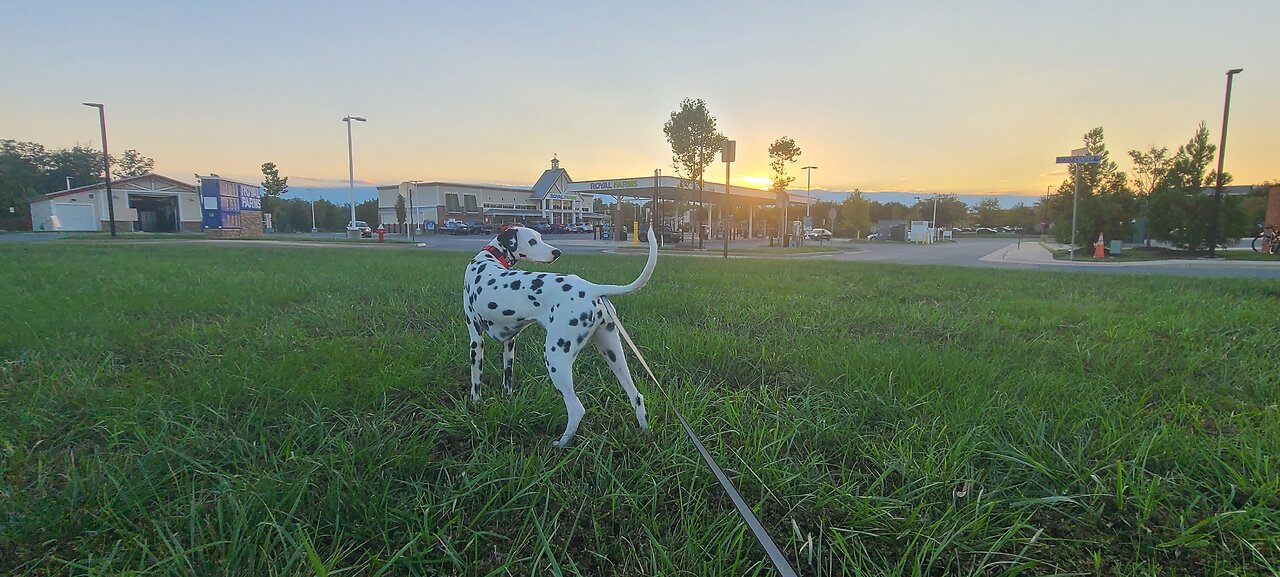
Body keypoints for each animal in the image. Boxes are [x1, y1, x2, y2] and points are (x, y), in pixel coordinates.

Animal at [460, 226, 660, 447]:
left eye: (538, 238)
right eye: (533, 240)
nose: (557, 252)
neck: (489, 259)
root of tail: (591, 287)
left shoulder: (476, 339)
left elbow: (476, 379)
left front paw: (475, 405)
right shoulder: (509, 343)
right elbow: (507, 380)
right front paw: (508, 400)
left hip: (556, 358)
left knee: (576, 409)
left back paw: (561, 444)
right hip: (612, 353)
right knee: (636, 396)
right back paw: (645, 434)